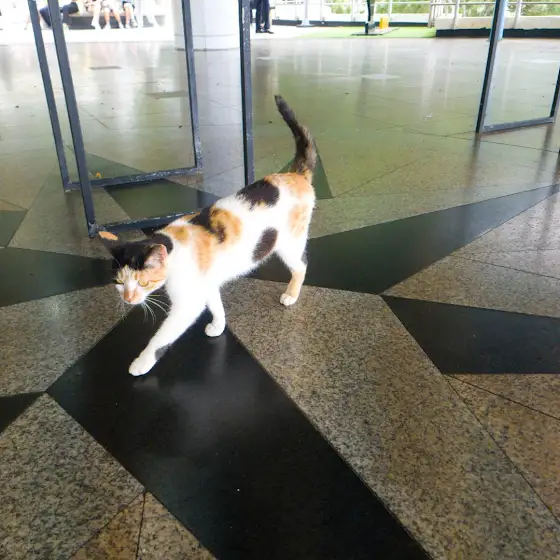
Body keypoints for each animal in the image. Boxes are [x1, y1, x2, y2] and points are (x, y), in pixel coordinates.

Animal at [99, 95, 316, 377]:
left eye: (143, 282)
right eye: (118, 282)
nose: (127, 299)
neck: (173, 247)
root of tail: (294, 174)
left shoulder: (187, 305)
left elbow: (161, 338)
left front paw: (142, 362)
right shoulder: (207, 284)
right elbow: (215, 303)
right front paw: (219, 325)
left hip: (290, 243)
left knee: (301, 265)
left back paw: (292, 294)